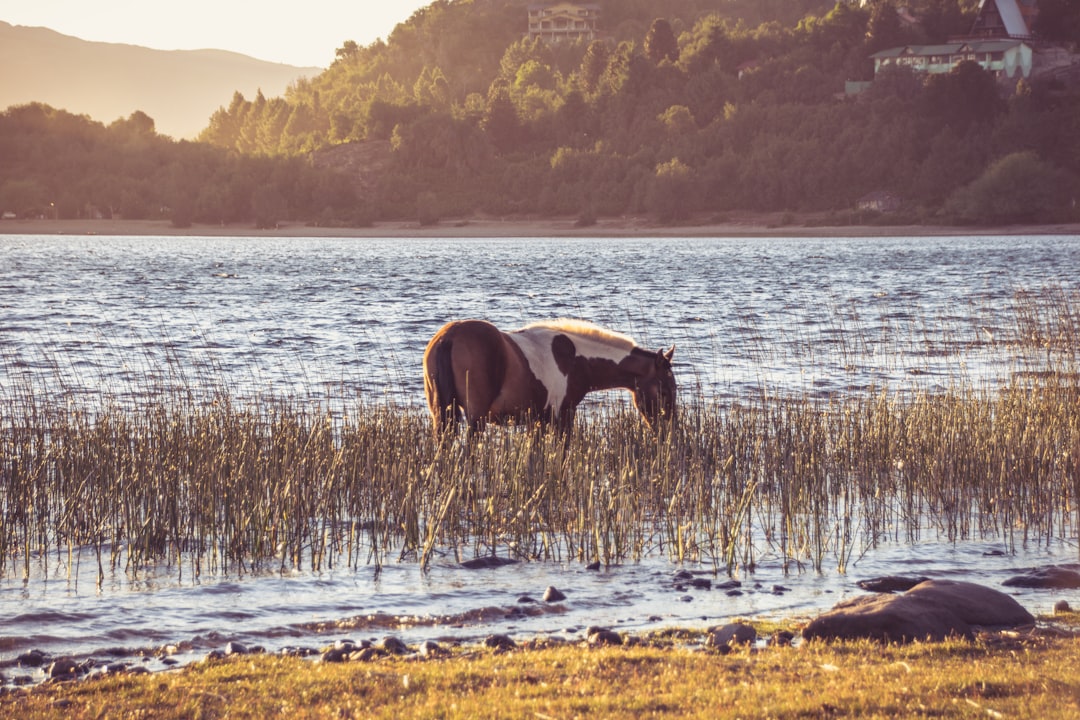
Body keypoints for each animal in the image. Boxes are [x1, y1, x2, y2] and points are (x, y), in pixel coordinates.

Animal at [421, 319, 673, 433]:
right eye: (664, 390)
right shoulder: (563, 416)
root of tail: (449, 335)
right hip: (476, 418)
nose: (668, 432)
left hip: (441, 415)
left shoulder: (538, 421)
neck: (575, 358)